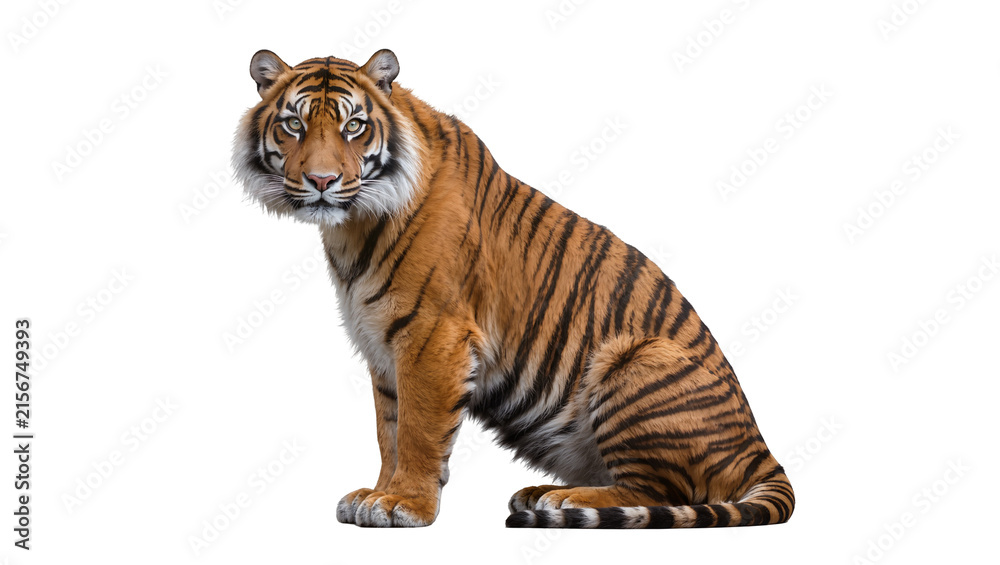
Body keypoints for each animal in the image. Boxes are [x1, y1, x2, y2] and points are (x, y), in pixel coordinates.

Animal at [233, 48, 795, 529]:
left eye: (354, 126)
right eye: (294, 124)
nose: (322, 181)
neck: (352, 226)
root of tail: (761, 450)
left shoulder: (432, 335)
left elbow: (417, 428)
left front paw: (404, 504)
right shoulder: (381, 344)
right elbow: (388, 428)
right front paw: (377, 493)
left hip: (636, 357)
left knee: (657, 493)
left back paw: (563, 498)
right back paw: (540, 493)